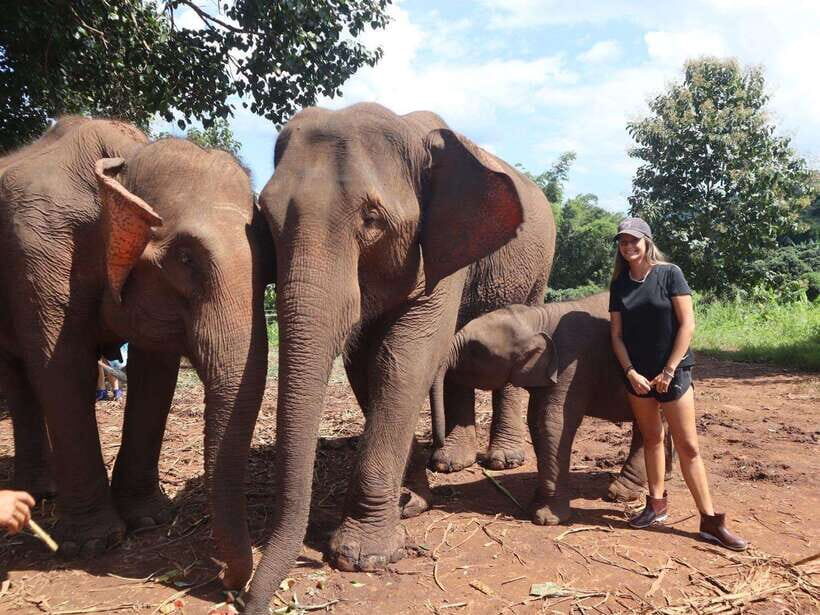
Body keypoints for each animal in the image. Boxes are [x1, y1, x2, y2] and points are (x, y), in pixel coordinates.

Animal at [0, 117, 269, 586]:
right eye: (185, 258)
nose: (233, 586)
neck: (120, 168)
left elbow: (154, 374)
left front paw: (149, 520)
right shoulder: (38, 250)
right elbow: (62, 369)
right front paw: (92, 544)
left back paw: (40, 492)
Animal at [241, 102, 554, 611]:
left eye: (372, 220)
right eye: (264, 217)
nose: (247, 599)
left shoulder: (447, 242)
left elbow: (403, 356)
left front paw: (363, 556)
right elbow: (367, 360)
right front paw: (410, 502)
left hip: (537, 271)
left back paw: (501, 461)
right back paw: (451, 462)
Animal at [430, 292, 674, 525]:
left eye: (474, 350)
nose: (435, 460)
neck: (537, 316)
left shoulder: (571, 366)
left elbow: (554, 424)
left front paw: (546, 519)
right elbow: (536, 422)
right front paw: (535, 503)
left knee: (650, 425)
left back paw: (619, 493)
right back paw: (663, 478)